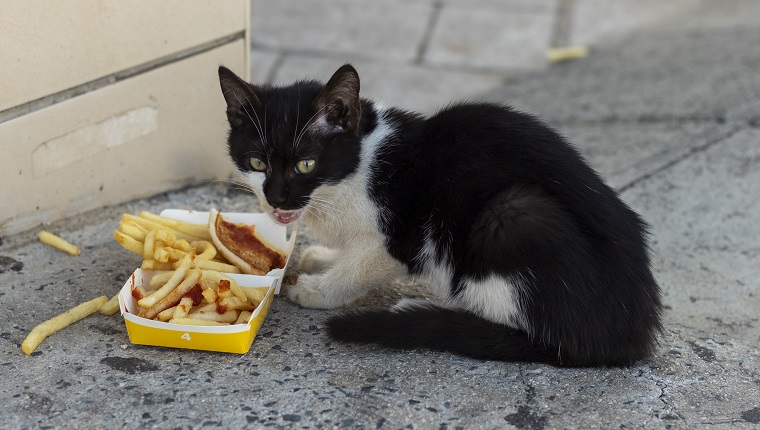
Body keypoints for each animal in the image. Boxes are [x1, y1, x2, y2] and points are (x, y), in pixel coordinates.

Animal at [218, 63, 660, 366]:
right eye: (257, 162)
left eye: (306, 165)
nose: (277, 199)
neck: (359, 165)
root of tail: (629, 334)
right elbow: (351, 251)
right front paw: (322, 258)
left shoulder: (406, 232)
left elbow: (361, 267)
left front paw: (317, 290)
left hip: (513, 216)